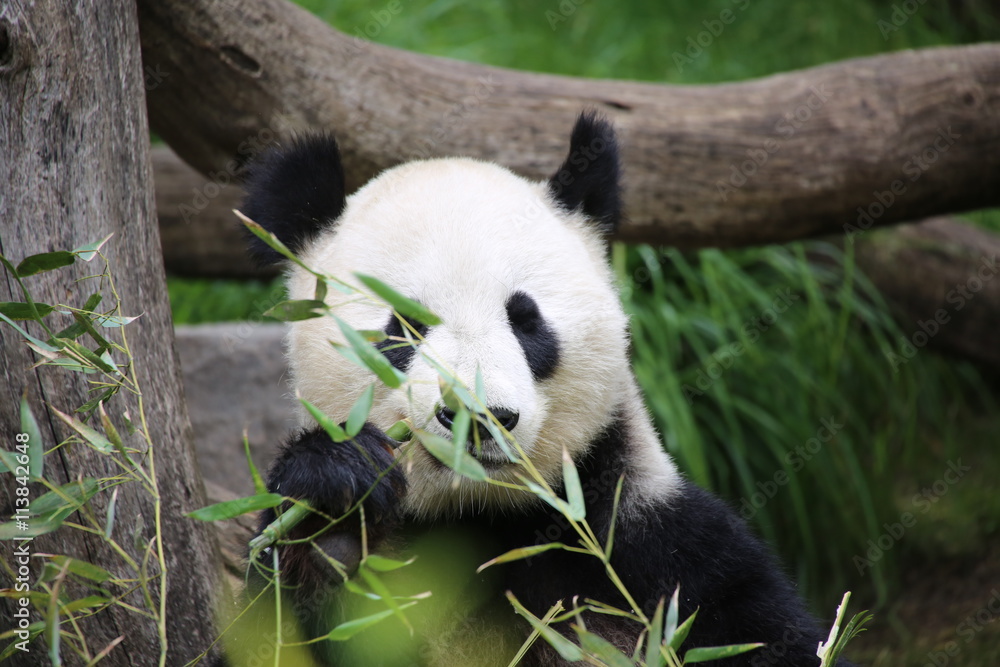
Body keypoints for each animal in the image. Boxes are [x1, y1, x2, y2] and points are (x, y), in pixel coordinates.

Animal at [232, 111, 852, 667]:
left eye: (526, 320)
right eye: (403, 327)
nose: (479, 417)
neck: (483, 517)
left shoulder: (653, 549)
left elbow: (762, 634)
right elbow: (274, 629)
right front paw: (333, 514)